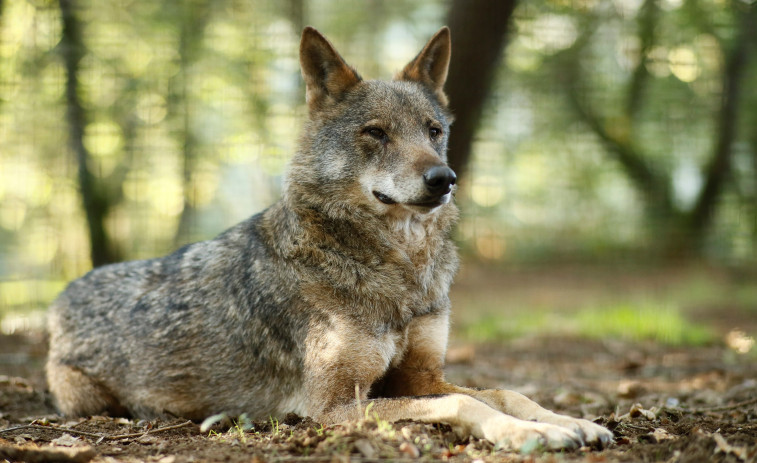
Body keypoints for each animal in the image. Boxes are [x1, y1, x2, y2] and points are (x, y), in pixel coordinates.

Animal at [45, 26, 616, 454]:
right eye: (376, 133)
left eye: (433, 131)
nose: (444, 179)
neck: (399, 268)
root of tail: (61, 297)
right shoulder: (333, 405)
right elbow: (467, 402)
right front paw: (528, 435)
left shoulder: (420, 376)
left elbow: (504, 390)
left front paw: (570, 421)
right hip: (89, 399)